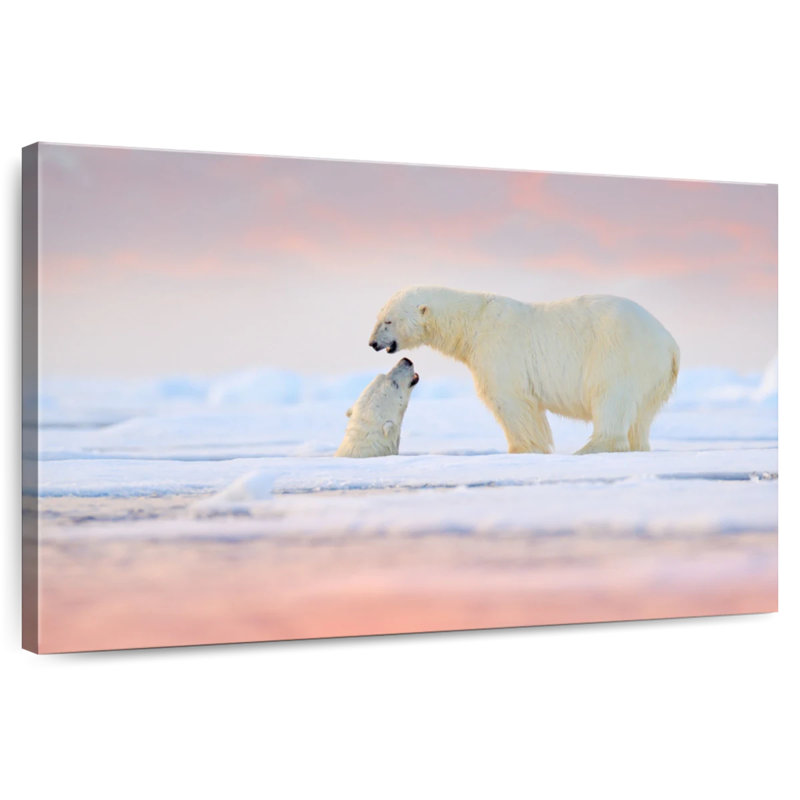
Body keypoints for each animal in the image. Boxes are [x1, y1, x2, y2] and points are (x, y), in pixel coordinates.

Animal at [368, 286, 680, 455]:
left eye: (388, 321)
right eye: (379, 317)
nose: (372, 343)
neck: (473, 322)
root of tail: (669, 343)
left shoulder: (498, 350)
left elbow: (510, 401)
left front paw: (523, 449)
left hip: (618, 354)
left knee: (610, 397)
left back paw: (588, 448)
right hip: (655, 377)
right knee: (641, 416)